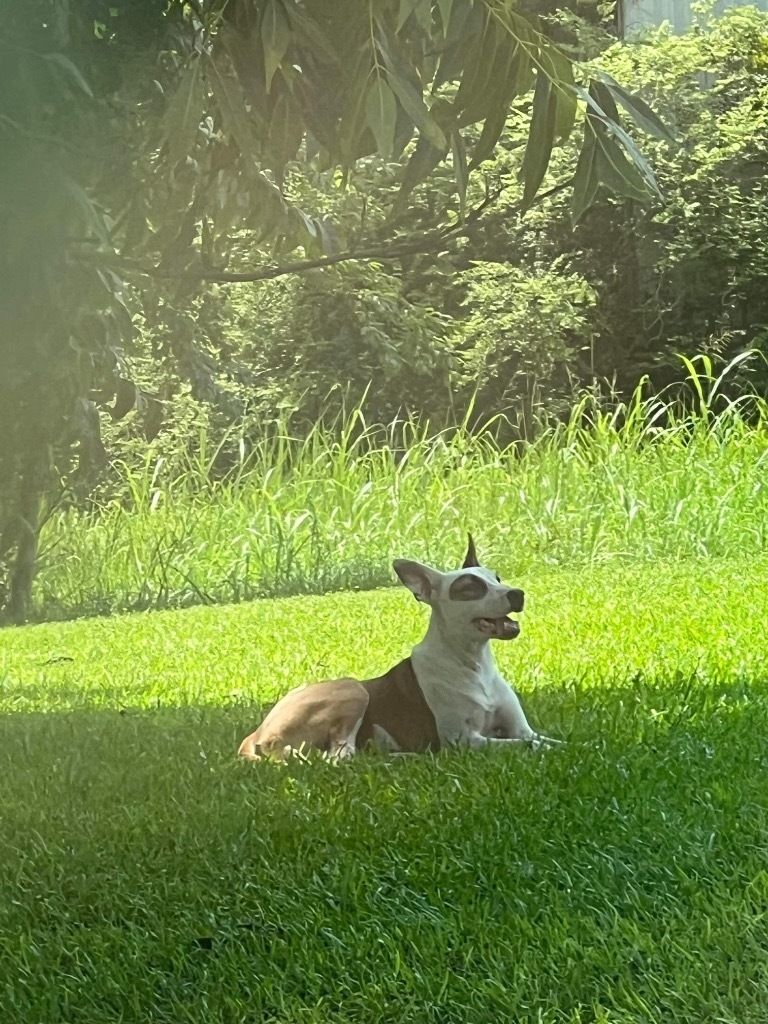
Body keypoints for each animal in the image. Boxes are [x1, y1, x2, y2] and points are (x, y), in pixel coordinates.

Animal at [237, 536, 561, 761]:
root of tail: (258, 731)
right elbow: (527, 744)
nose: (517, 594)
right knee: (339, 756)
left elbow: (546, 739)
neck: (472, 664)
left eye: (497, 578)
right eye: (470, 588)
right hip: (353, 689)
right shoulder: (464, 740)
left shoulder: (521, 728)